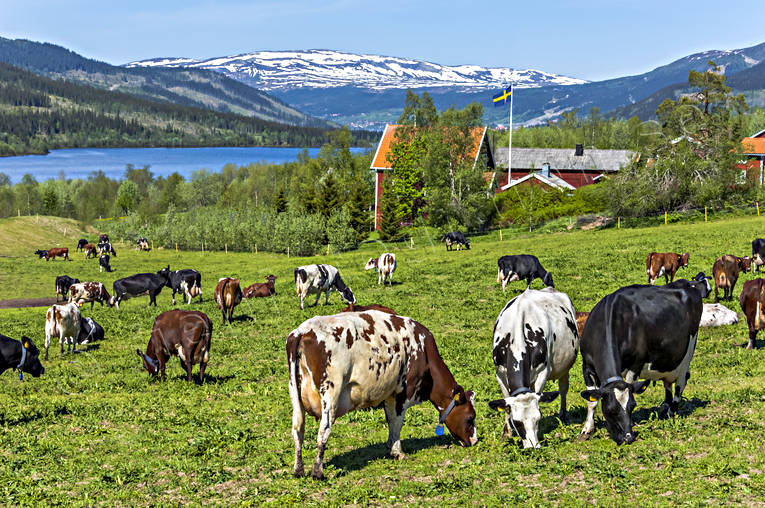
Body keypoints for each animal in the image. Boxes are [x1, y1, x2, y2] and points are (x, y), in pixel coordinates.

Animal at [286, 310, 474, 480]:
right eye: (471, 417)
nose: (474, 441)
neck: (424, 351)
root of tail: (303, 331)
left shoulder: (390, 393)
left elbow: (391, 420)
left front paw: (392, 449)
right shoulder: (403, 392)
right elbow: (397, 422)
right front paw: (398, 452)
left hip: (294, 392)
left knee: (297, 429)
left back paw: (298, 470)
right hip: (331, 392)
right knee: (323, 430)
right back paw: (317, 472)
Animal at [486, 288, 576, 446]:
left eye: (538, 418)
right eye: (517, 422)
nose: (533, 447)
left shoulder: (543, 373)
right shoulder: (500, 374)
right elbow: (506, 405)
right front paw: (506, 434)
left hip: (565, 367)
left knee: (563, 389)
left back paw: (563, 416)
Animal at [580, 272, 712, 442]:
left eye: (632, 406)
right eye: (610, 409)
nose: (628, 437)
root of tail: (690, 284)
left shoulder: (636, 364)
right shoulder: (586, 365)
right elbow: (592, 401)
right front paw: (587, 429)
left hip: (688, 350)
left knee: (680, 383)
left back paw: (671, 412)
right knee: (668, 384)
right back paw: (664, 409)